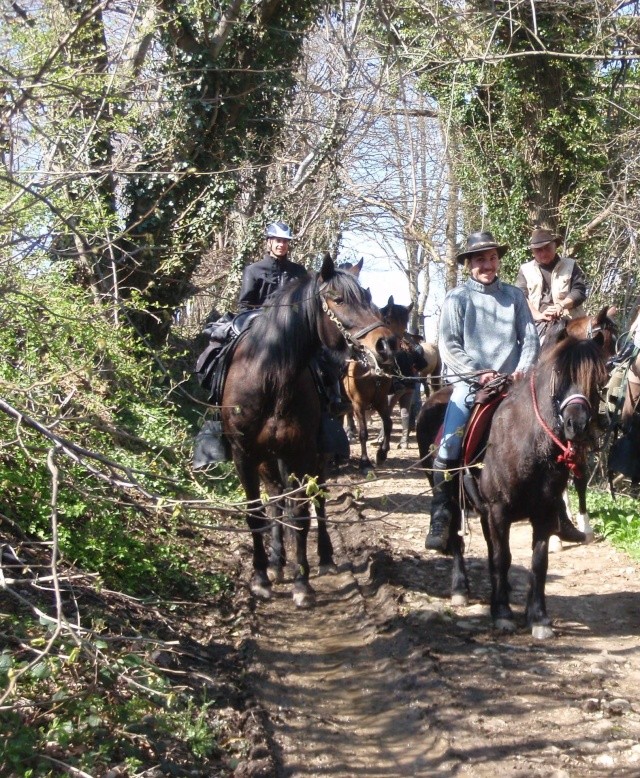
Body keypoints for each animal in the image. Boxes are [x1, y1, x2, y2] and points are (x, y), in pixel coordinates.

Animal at [222, 255, 398, 608]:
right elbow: (256, 515)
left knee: (315, 501)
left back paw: (325, 557)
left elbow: (302, 516)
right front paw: (261, 578)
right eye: (338, 299)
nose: (386, 345)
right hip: (268, 460)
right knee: (276, 501)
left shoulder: (300, 453)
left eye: (368, 297)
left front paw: (302, 584)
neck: (270, 378)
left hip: (315, 456)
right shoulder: (243, 455)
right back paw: (277, 564)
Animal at [418, 334, 608, 636]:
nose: (576, 424)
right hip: (456, 500)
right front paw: (502, 612)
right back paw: (460, 588)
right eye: (559, 374)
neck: (527, 443)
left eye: (598, 377)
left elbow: (538, 562)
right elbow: (501, 558)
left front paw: (538, 617)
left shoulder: (543, 513)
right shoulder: (499, 510)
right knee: (457, 539)